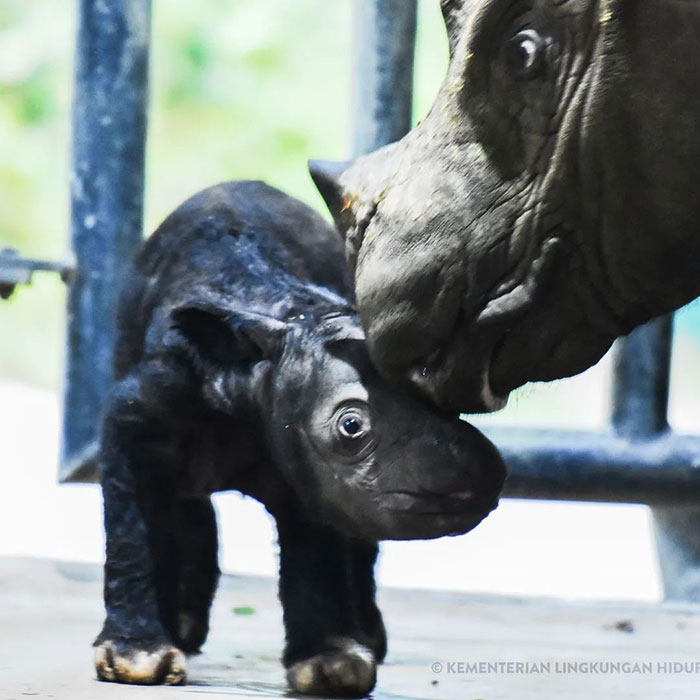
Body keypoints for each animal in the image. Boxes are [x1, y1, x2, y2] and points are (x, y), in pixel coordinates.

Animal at [93, 181, 505, 696]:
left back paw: (367, 639)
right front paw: (137, 660)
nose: (486, 476)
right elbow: (132, 521)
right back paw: (183, 631)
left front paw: (331, 667)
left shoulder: (310, 466)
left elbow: (319, 533)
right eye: (351, 426)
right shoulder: (137, 414)